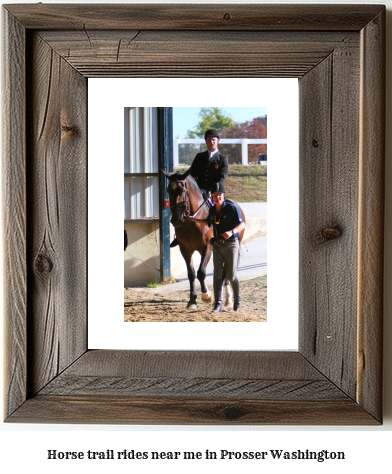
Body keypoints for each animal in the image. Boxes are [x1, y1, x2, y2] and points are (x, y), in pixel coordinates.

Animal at [162, 170, 245, 312]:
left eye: (182, 190)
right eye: (168, 190)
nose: (175, 220)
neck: (192, 221)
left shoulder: (207, 248)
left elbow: (201, 272)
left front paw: (207, 295)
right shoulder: (185, 249)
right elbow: (191, 273)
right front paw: (192, 300)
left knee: (226, 272)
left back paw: (226, 299)